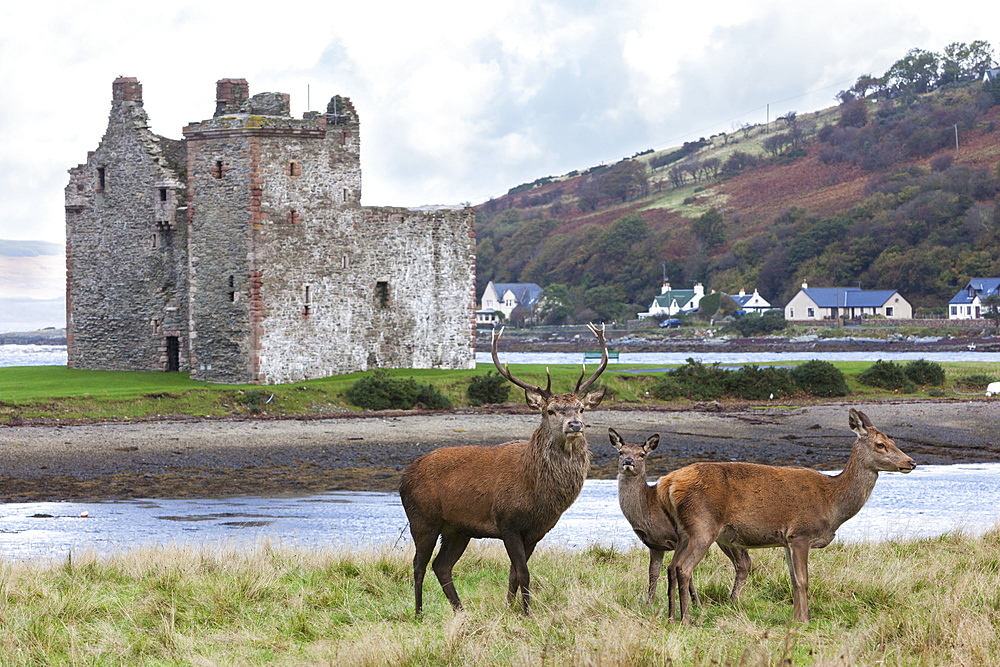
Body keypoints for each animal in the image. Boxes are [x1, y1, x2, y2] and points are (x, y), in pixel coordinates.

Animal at [400, 324, 608, 616]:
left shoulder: (536, 532)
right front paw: (527, 613)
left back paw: (461, 610)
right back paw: (419, 612)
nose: (575, 425)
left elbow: (514, 574)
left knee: (441, 565)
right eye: (550, 410)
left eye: (580, 408)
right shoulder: (507, 522)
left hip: (457, 529)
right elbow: (524, 573)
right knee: (418, 564)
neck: (537, 492)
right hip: (422, 519)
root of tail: (405, 476)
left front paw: (510, 609)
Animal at [608, 430, 752, 608]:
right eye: (621, 452)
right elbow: (653, 573)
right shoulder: (654, 545)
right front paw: (649, 603)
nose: (628, 461)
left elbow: (687, 574)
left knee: (743, 562)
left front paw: (697, 604)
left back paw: (733, 601)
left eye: (642, 454)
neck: (648, 510)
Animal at [664, 408, 916, 628]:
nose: (911, 462)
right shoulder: (801, 533)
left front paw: (795, 618)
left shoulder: (786, 540)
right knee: (684, 568)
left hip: (684, 531)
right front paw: (804, 620)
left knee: (672, 566)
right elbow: (803, 580)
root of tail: (668, 483)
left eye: (893, 441)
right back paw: (686, 620)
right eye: (880, 444)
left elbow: (793, 580)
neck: (831, 504)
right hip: (703, 526)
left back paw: (671, 616)